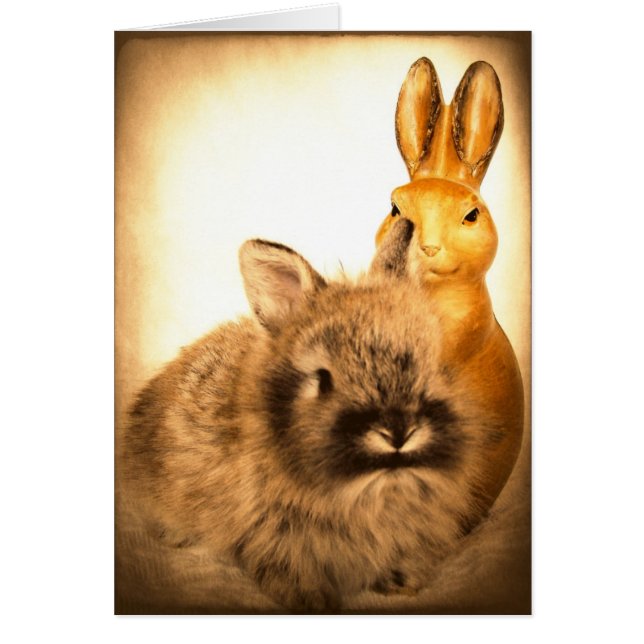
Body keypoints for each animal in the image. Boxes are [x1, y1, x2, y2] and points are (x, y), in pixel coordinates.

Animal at [119, 218, 517, 613]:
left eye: (436, 367)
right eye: (323, 380)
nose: (399, 432)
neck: (373, 491)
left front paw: (402, 581)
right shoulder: (268, 530)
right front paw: (309, 599)